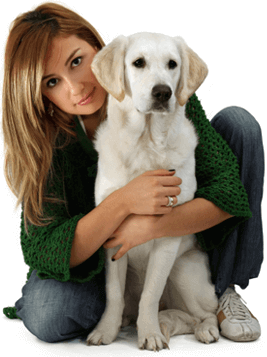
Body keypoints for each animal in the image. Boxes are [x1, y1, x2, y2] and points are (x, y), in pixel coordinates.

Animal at [87, 32, 220, 350]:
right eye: (138, 62)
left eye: (172, 64)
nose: (162, 93)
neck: (145, 144)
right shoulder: (113, 232)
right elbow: (113, 293)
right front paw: (105, 331)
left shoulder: (168, 235)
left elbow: (151, 293)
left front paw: (150, 334)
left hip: (185, 269)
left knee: (204, 314)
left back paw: (205, 330)